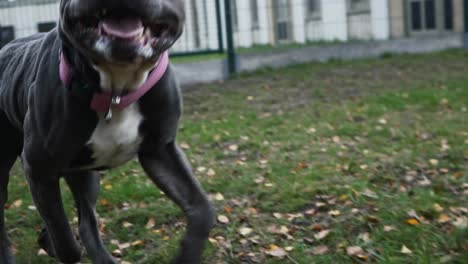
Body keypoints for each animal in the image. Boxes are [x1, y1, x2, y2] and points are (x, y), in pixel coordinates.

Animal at [0, 0, 216, 264]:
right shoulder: (39, 169)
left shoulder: (160, 152)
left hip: (85, 176)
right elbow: (64, 239)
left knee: (86, 221)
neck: (117, 89)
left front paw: (187, 253)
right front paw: (54, 242)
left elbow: (202, 209)